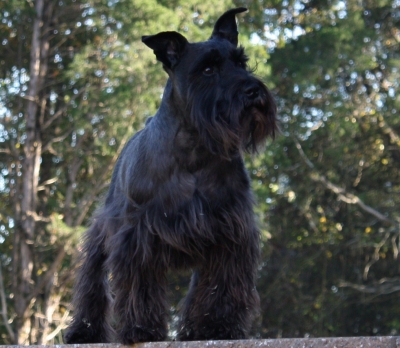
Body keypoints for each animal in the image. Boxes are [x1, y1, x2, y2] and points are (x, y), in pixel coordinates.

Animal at [65, 8, 276, 346]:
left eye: (241, 62)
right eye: (208, 69)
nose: (253, 91)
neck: (195, 151)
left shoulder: (230, 229)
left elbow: (221, 284)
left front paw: (219, 326)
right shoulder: (136, 235)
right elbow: (140, 284)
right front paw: (140, 328)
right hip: (103, 234)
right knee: (92, 281)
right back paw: (84, 330)